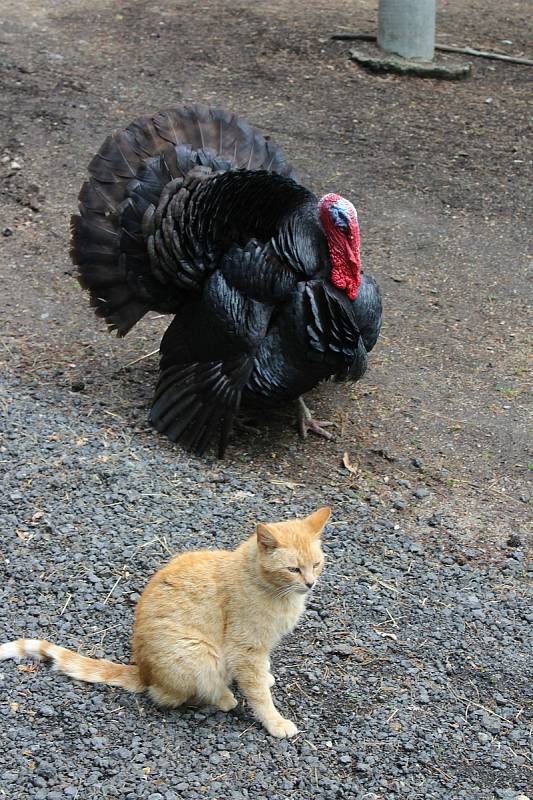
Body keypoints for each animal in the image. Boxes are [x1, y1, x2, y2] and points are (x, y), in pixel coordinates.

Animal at [0, 506, 330, 736]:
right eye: (293, 569)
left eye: (316, 564)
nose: (311, 583)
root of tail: (143, 672)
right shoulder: (246, 649)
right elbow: (259, 693)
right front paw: (274, 721)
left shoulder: (258, 650)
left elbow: (263, 673)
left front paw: (268, 677)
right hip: (199, 653)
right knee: (174, 695)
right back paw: (224, 697)